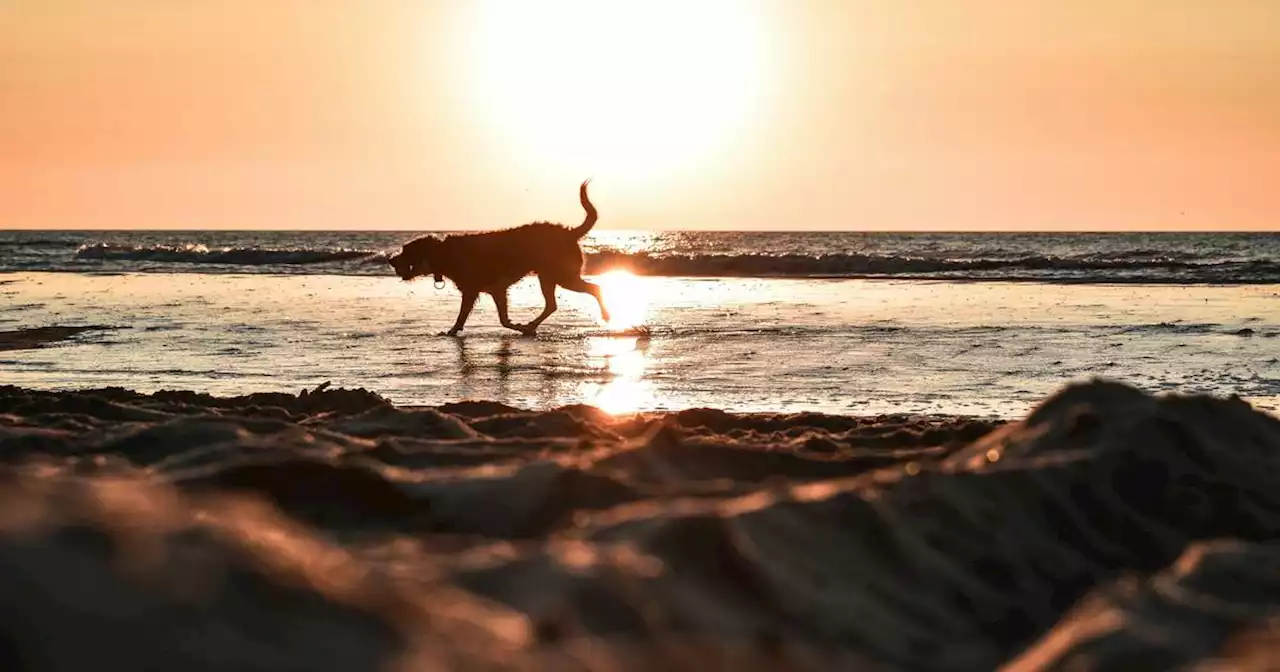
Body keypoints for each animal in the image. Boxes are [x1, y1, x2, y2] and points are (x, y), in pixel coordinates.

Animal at [386, 180, 611, 335]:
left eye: (406, 251)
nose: (390, 260)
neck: (443, 253)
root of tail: (570, 232)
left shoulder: (474, 290)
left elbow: (466, 314)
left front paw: (452, 331)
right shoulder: (496, 290)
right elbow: (500, 318)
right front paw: (516, 326)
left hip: (562, 275)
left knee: (594, 288)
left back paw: (605, 315)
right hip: (548, 276)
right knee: (552, 305)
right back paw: (531, 326)